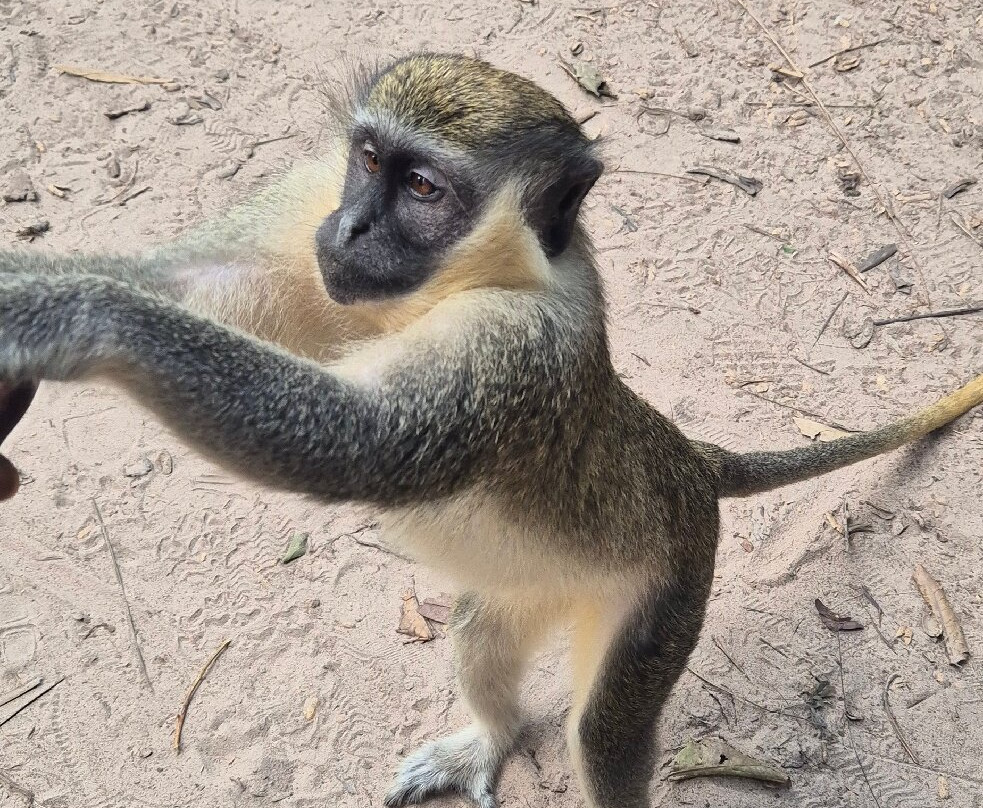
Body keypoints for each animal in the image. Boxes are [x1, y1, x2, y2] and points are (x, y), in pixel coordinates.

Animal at [0, 53, 980, 808]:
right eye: (367, 159)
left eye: (423, 188)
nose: (347, 228)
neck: (483, 274)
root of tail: (692, 465)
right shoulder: (309, 201)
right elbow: (203, 276)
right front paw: (34, 284)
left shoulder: (520, 349)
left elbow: (360, 440)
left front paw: (69, 314)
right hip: (531, 585)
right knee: (481, 629)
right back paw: (489, 735)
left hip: (666, 593)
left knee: (604, 738)